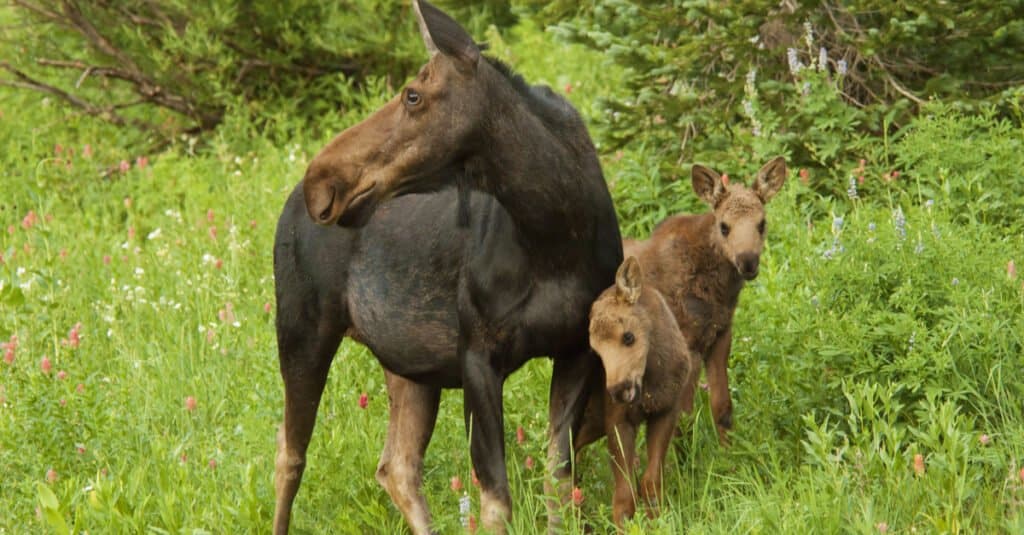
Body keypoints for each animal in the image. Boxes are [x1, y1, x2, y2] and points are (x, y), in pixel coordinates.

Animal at [272, 2, 618, 528]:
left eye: (413, 95)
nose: (321, 180)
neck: (555, 234)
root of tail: (287, 206)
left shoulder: (578, 346)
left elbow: (558, 484)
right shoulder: (477, 352)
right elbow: (496, 500)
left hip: (410, 364)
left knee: (395, 465)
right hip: (301, 331)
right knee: (290, 455)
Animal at [573, 255, 700, 524]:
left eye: (628, 337)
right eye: (595, 351)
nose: (618, 390)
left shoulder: (666, 412)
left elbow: (650, 482)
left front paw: (657, 522)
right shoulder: (616, 421)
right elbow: (624, 494)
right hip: (592, 418)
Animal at [626, 155, 786, 442]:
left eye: (762, 223)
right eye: (724, 226)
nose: (748, 261)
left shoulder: (720, 334)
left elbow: (722, 406)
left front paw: (730, 449)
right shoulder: (688, 343)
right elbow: (683, 419)